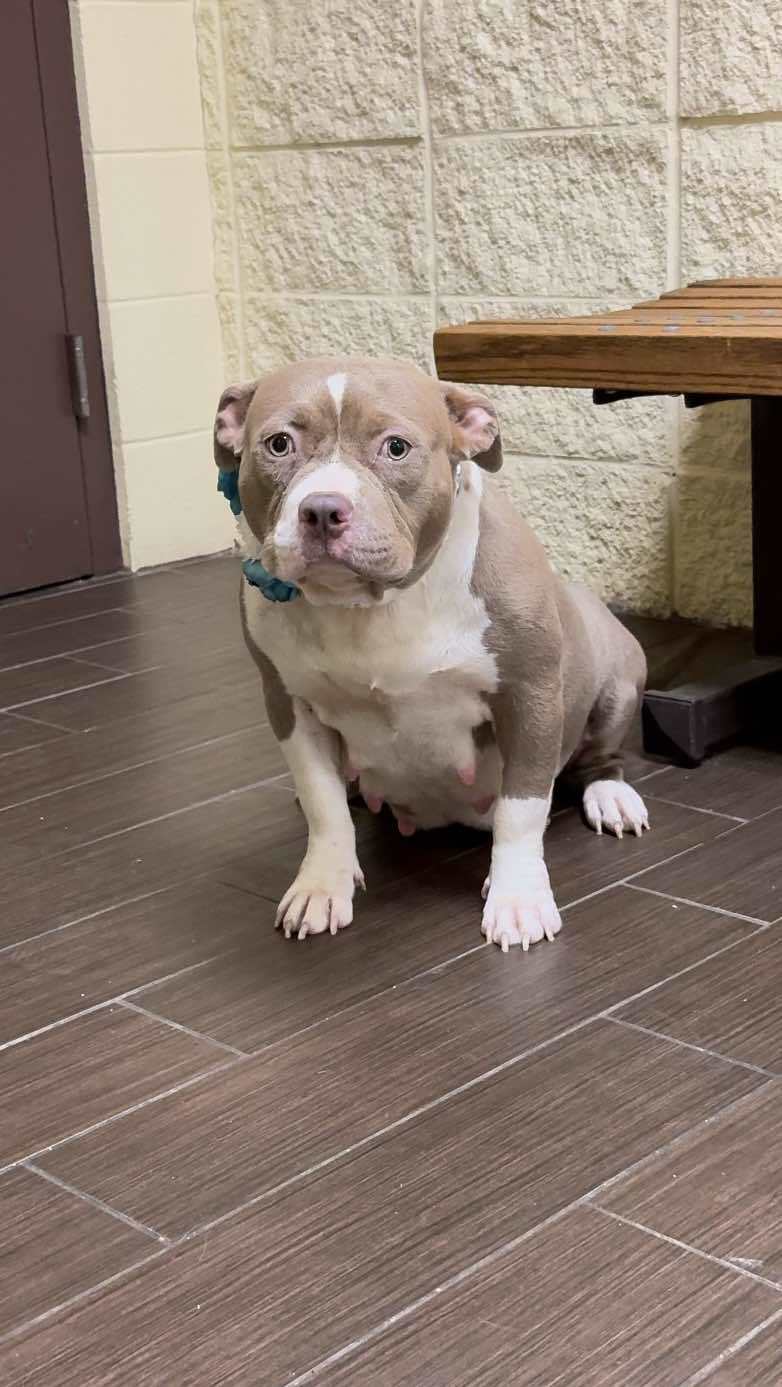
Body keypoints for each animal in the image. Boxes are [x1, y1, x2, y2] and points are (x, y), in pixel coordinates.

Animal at [213, 357, 648, 954]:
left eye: (396, 447)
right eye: (279, 443)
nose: (322, 509)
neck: (373, 606)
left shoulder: (530, 696)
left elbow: (521, 810)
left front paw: (517, 899)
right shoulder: (289, 704)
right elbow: (324, 804)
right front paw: (321, 885)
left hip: (619, 675)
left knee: (600, 756)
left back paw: (611, 795)